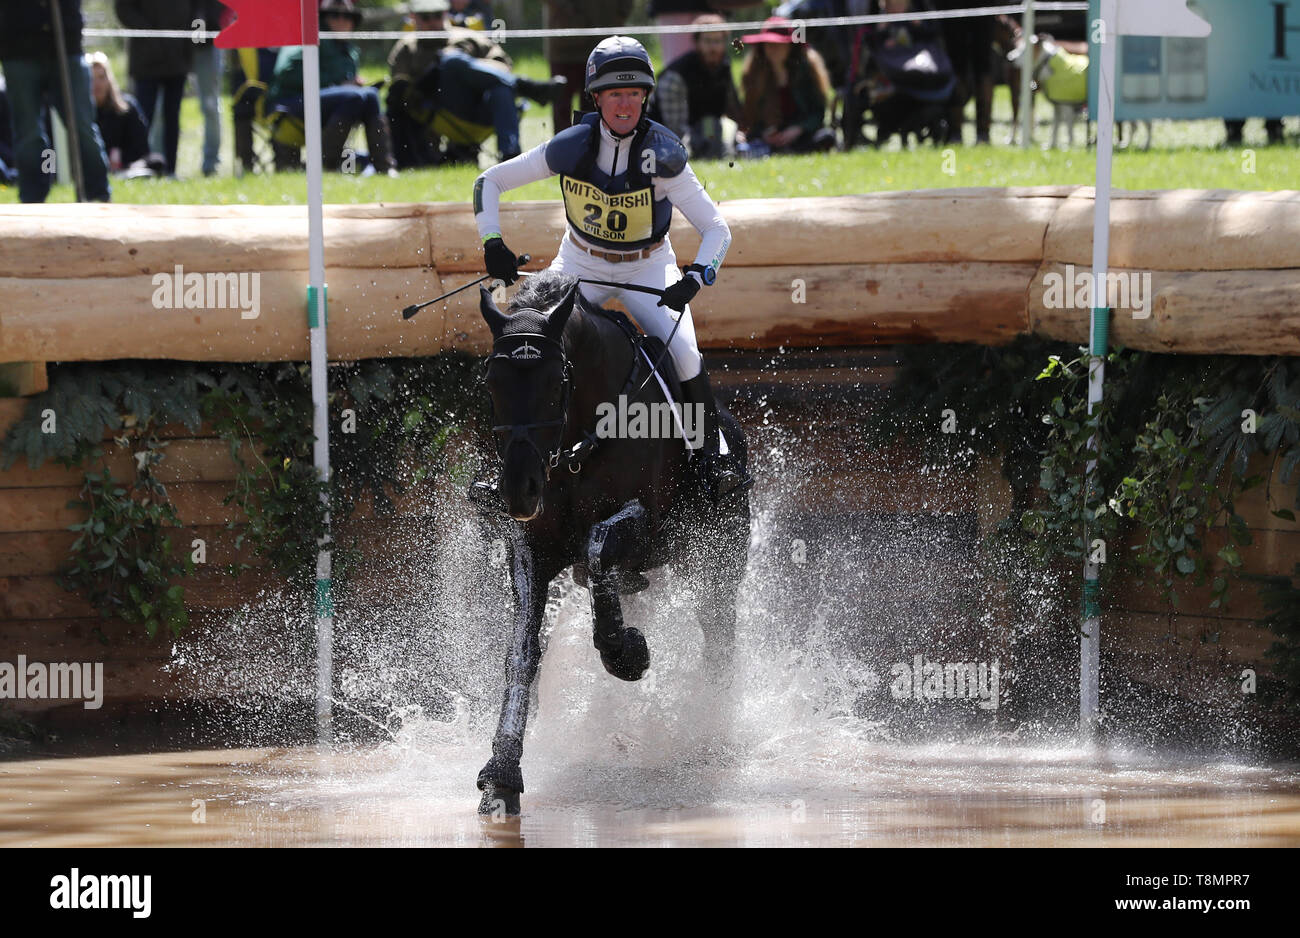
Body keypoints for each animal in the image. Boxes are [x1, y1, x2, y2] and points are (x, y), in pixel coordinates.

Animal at [473, 268, 748, 810]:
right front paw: (502, 774)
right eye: (492, 382)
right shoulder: (534, 547)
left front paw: (627, 655)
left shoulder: (643, 525)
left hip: (720, 560)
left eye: (556, 381)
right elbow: (522, 652)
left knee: (718, 636)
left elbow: (599, 546)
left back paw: (714, 738)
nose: (519, 490)